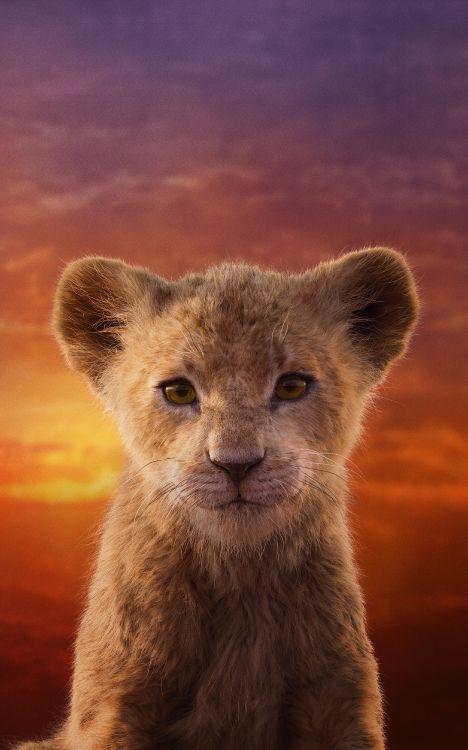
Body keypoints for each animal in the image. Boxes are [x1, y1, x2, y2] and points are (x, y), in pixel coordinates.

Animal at [14, 247, 418, 749]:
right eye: (179, 391)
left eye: (292, 385)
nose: (236, 464)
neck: (237, 574)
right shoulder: (114, 712)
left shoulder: (340, 710)